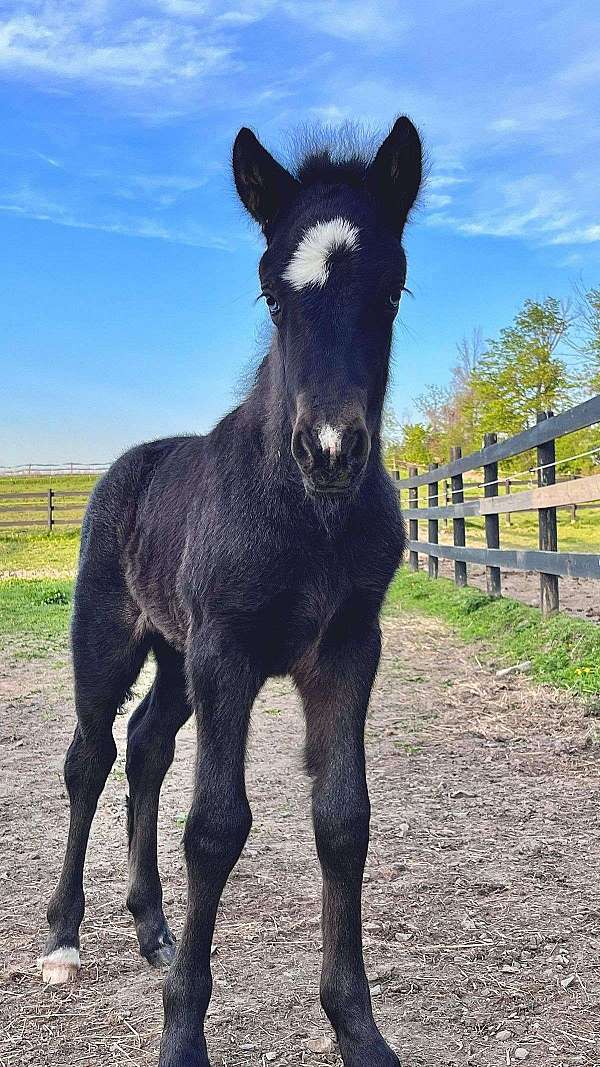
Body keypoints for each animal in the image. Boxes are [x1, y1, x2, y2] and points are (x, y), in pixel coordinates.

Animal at [40, 112, 420, 1062]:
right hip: (111, 640)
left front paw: (359, 1029)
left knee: (146, 745)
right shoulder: (228, 653)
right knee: (91, 755)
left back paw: (153, 928)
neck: (307, 517)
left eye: (392, 292)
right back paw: (63, 937)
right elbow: (215, 827)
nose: (330, 450)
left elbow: (344, 820)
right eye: (273, 297)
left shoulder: (347, 649)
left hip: (176, 660)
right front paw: (182, 1036)